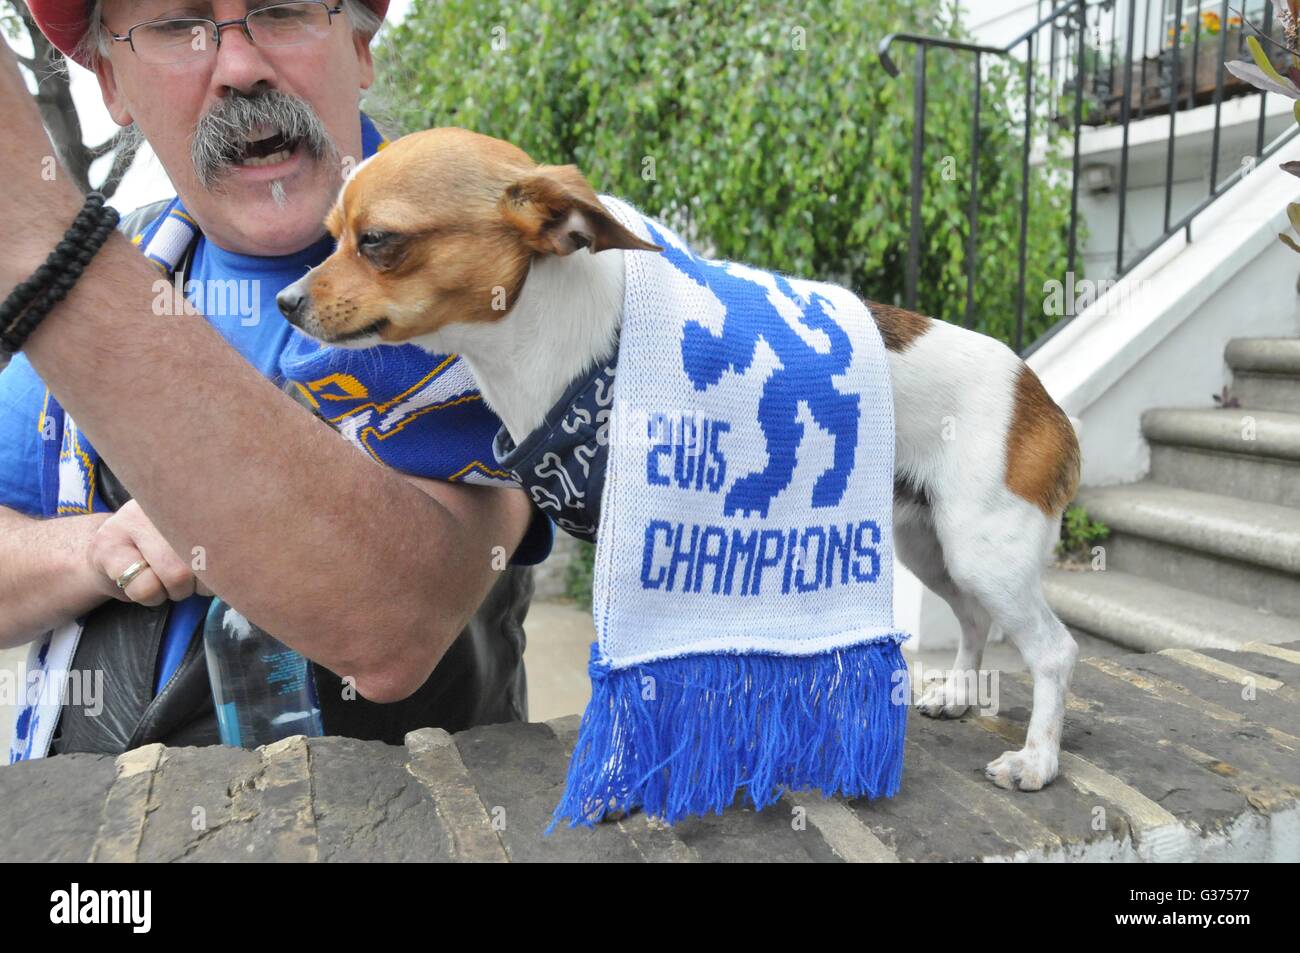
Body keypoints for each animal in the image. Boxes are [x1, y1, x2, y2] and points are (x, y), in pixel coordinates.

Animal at [279, 128, 1081, 795]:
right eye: (330, 238)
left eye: (377, 240)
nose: (285, 300)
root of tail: (1041, 395)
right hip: (931, 546)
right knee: (974, 620)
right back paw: (961, 693)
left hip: (983, 549)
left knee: (1053, 651)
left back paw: (1038, 760)